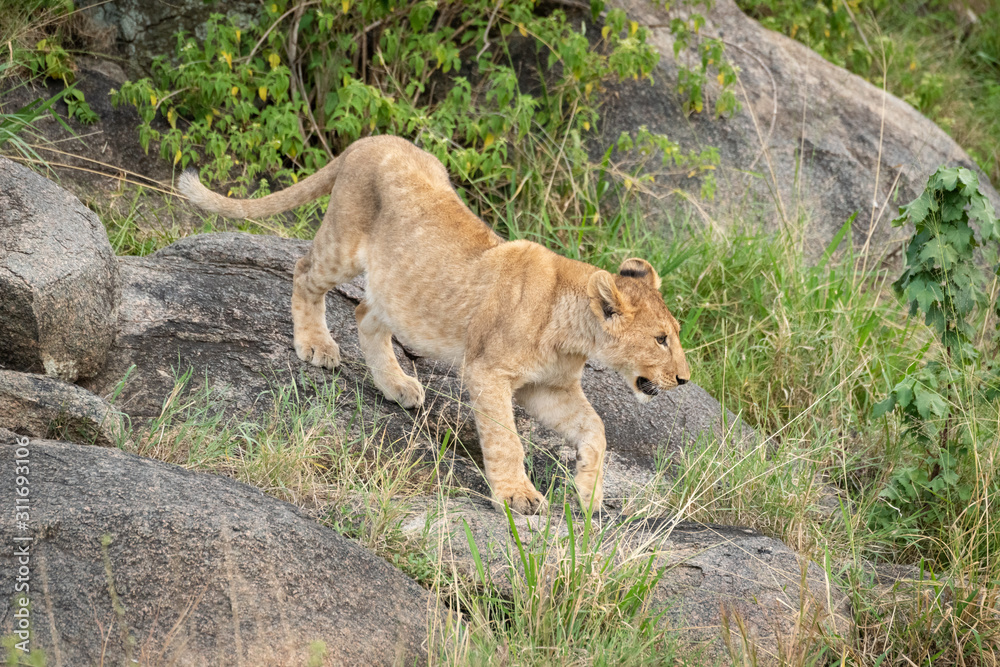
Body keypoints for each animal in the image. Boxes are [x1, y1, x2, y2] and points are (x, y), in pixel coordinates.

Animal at [178, 135, 690, 514]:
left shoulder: (547, 388)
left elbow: (595, 428)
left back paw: (397, 385)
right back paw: (316, 346)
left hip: (396, 286)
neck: (573, 333)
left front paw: (589, 493)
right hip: (342, 245)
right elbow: (506, 440)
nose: (684, 379)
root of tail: (371, 139)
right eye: (661, 339)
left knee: (366, 315)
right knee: (304, 272)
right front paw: (518, 497)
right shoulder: (487, 372)